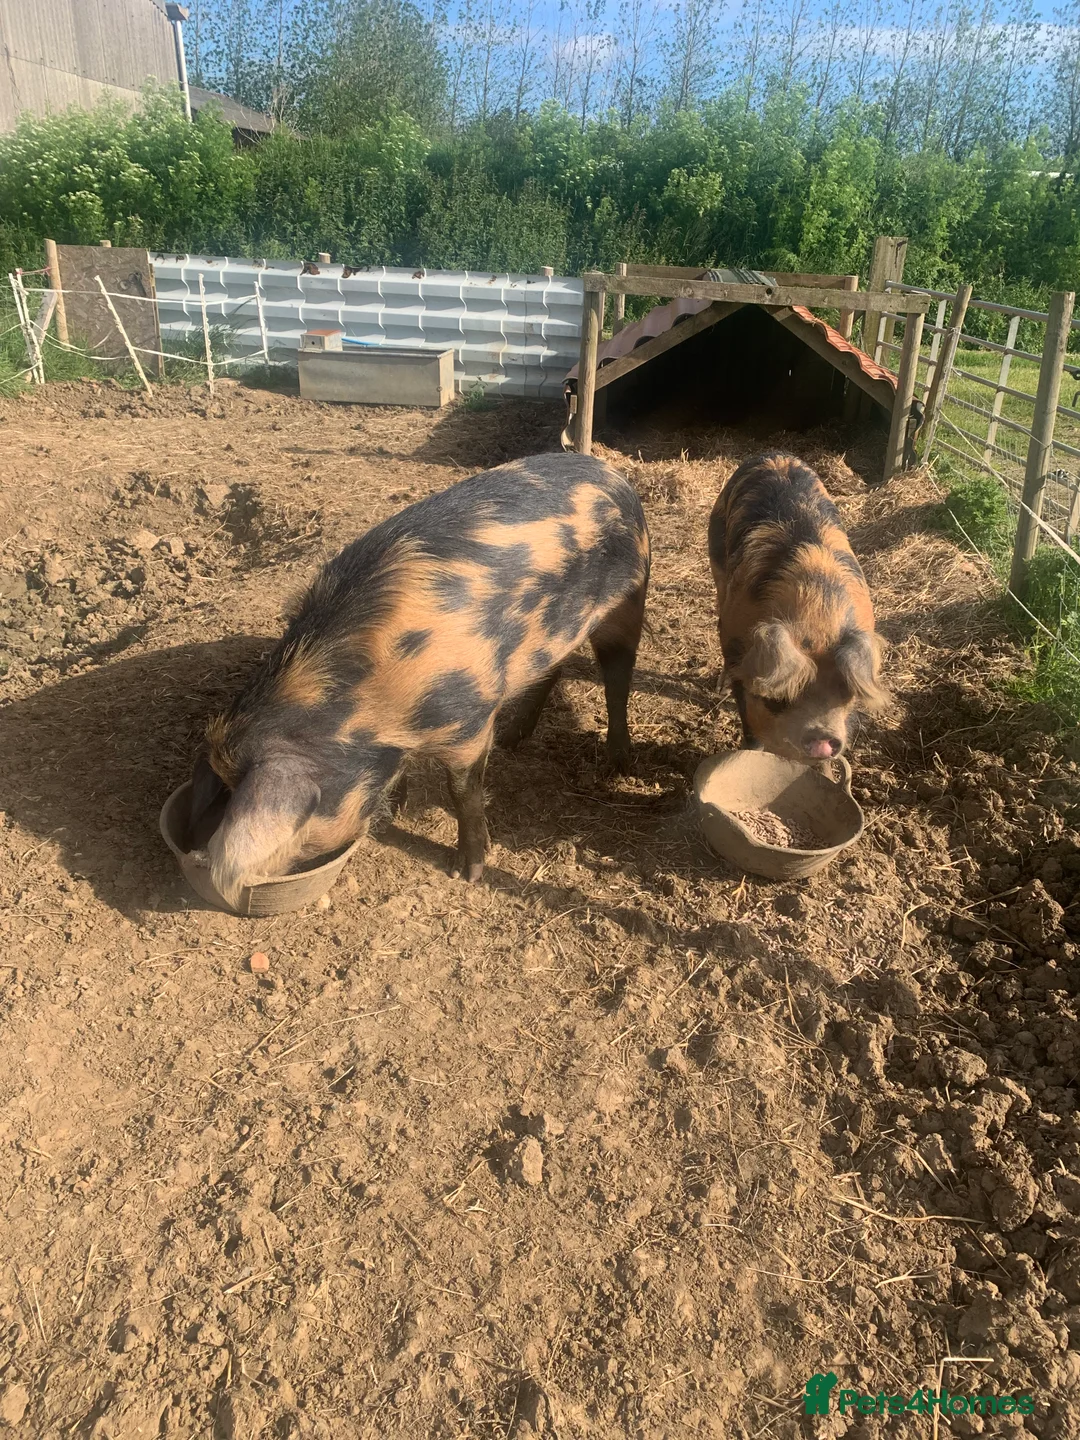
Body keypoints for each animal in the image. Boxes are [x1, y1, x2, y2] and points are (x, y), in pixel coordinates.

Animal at [187, 452, 650, 905]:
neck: (367, 708)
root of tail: (612, 474)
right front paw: (399, 807)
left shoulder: (469, 721)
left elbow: (462, 792)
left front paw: (468, 872)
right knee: (554, 668)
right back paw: (514, 738)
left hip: (629, 599)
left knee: (618, 677)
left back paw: (618, 762)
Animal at [707, 451, 886, 761]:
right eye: (783, 697)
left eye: (846, 692)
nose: (822, 740)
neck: (817, 613)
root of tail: (776, 454)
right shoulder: (740, 654)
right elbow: (751, 724)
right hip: (716, 552)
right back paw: (719, 689)